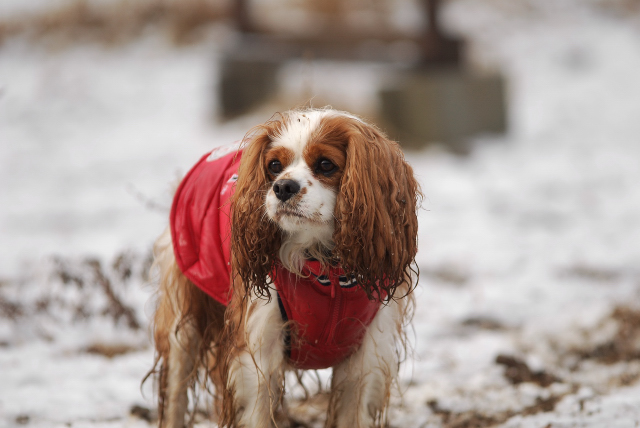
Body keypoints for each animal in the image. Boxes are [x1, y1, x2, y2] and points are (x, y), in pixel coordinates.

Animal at [149, 108, 420, 426]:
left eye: (326, 164)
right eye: (274, 165)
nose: (282, 187)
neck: (325, 268)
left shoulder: (367, 357)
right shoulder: (256, 353)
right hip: (183, 324)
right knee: (176, 395)